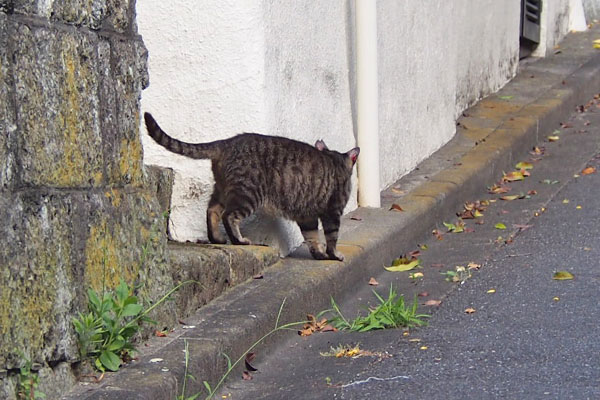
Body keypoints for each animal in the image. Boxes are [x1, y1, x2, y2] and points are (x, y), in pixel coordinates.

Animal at [144, 113, 360, 262]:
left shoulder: (307, 216)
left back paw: (217, 238)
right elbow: (331, 237)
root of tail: (226, 142)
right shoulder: (333, 211)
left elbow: (312, 236)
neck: (334, 160)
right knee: (229, 216)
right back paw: (239, 240)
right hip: (248, 194)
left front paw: (319, 254)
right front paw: (333, 254)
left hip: (223, 189)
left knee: (212, 211)